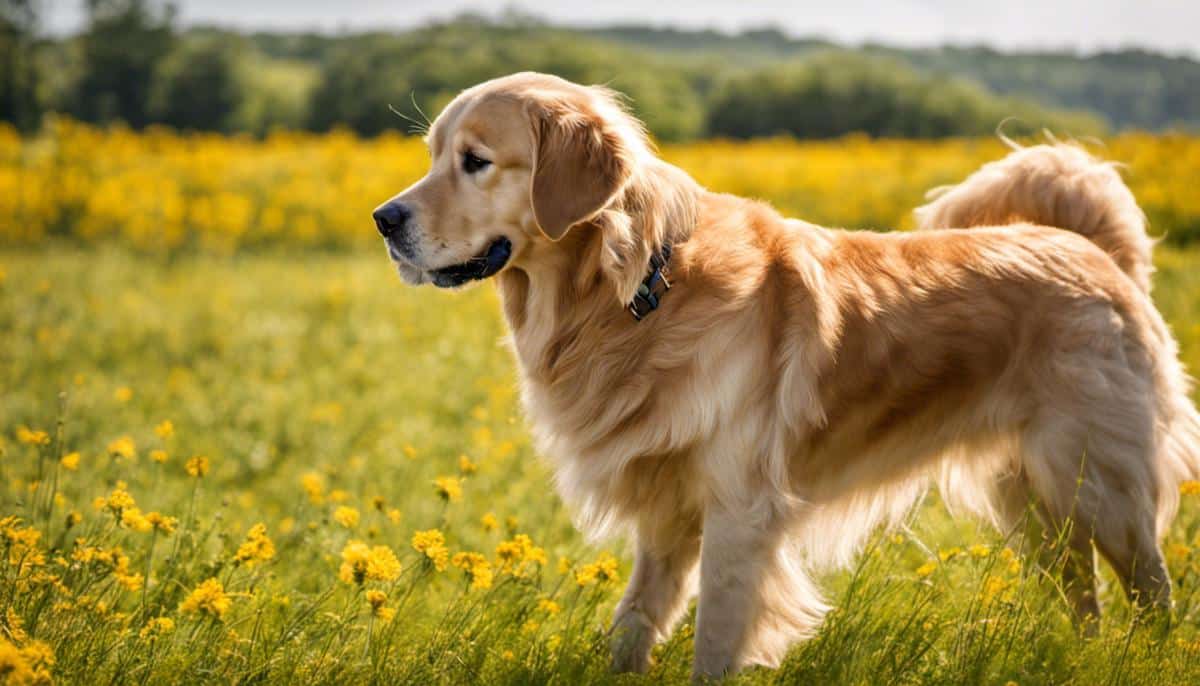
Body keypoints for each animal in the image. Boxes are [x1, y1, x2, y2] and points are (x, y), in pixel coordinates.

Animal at [374, 72, 1200, 676]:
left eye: (476, 161)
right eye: (433, 155)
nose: (385, 220)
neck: (637, 292)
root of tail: (1091, 250)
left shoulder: (739, 513)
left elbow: (714, 643)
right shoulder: (666, 515)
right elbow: (634, 624)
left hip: (1100, 484)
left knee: (1152, 593)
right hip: (1031, 497)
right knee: (1084, 594)